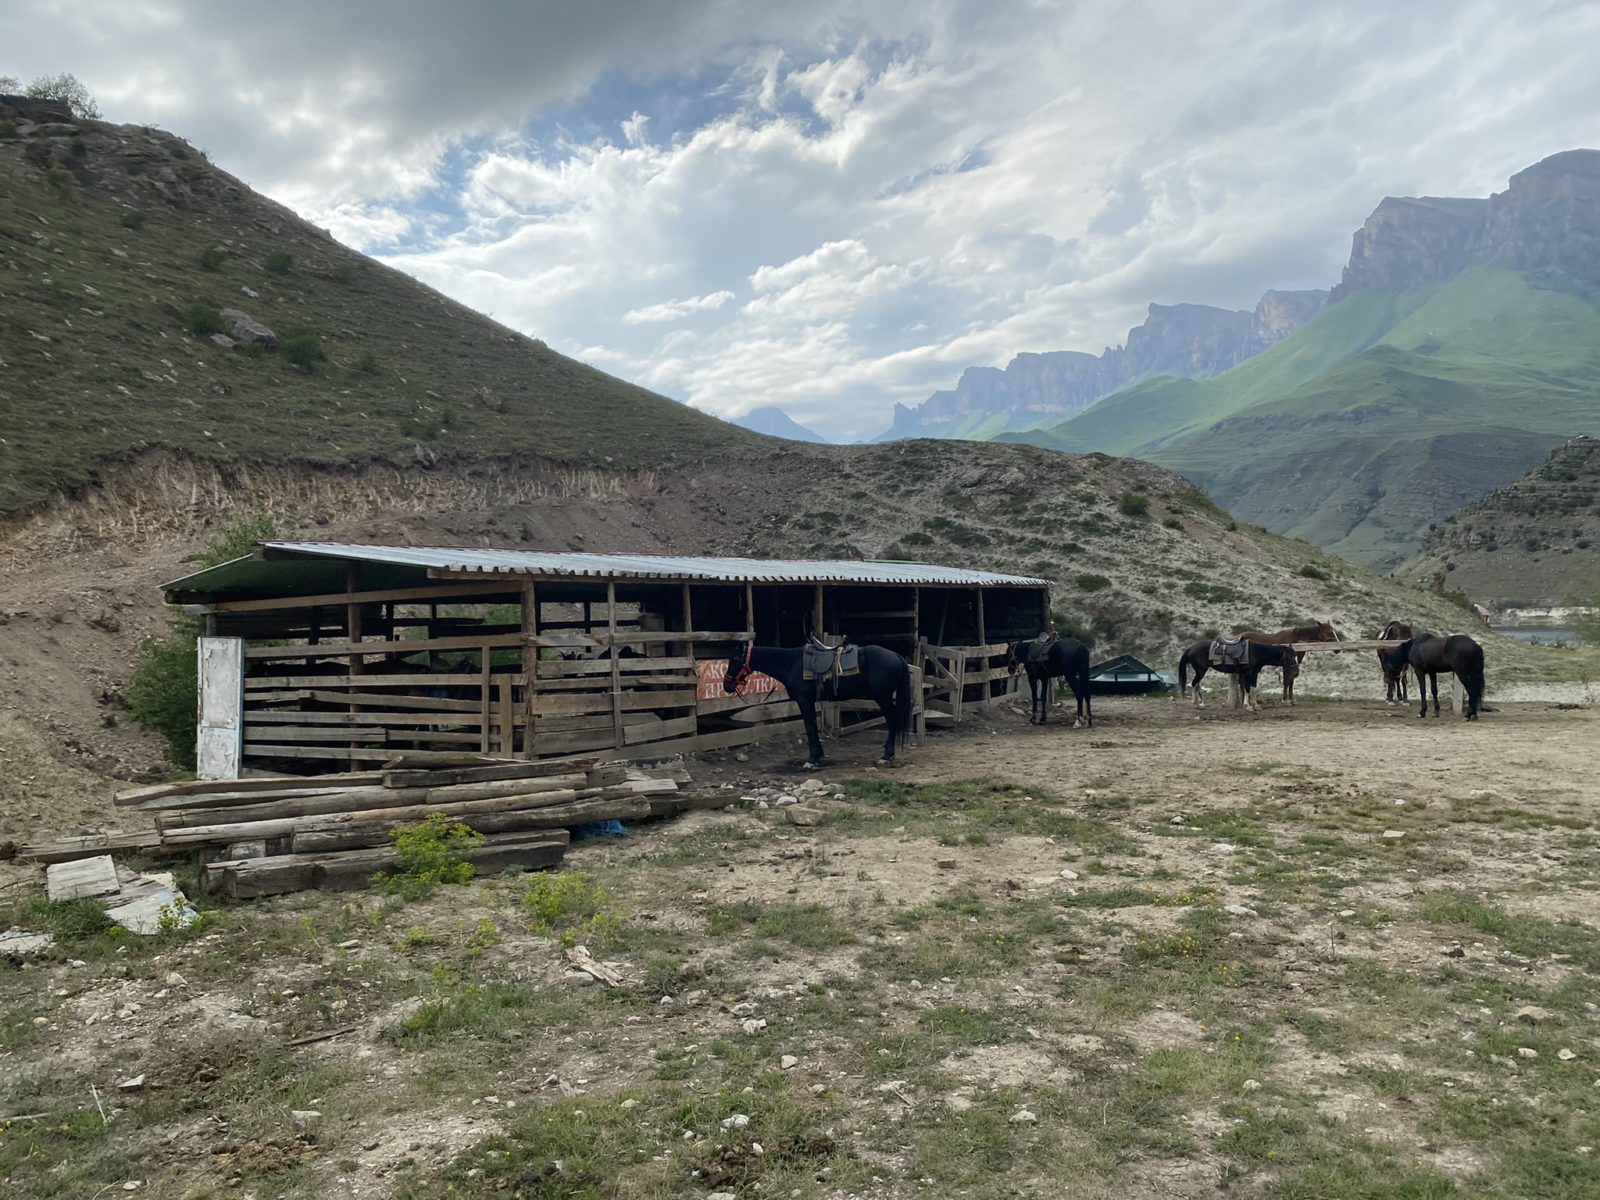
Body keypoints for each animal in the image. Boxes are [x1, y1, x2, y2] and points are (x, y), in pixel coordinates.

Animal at [726, 640, 915, 771]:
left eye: (735, 659)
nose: (726, 686)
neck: (790, 663)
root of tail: (897, 656)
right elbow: (813, 727)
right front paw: (819, 756)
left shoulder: (804, 701)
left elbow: (810, 727)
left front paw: (813, 760)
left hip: (883, 698)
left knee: (892, 720)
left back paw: (887, 755)